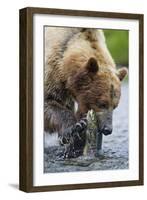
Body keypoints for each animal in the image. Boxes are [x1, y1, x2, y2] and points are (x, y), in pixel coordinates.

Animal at [44, 27, 127, 158]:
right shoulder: (52, 70)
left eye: (115, 106)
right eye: (102, 103)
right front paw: (77, 126)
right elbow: (50, 100)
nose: (108, 129)